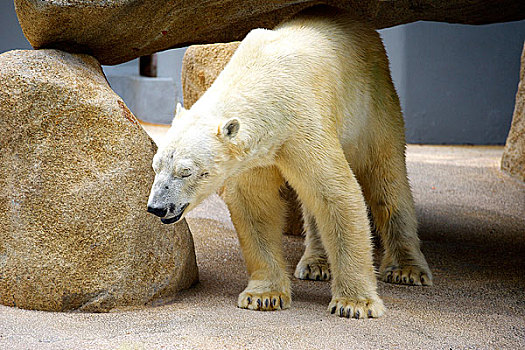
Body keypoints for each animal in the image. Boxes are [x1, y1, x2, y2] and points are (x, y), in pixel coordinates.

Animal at [146, 6, 430, 318]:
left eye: (186, 172)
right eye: (156, 166)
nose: (157, 208)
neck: (262, 79)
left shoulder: (300, 125)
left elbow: (336, 193)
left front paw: (355, 303)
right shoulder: (257, 155)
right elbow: (256, 203)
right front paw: (264, 296)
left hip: (374, 99)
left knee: (386, 175)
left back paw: (406, 269)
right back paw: (316, 263)